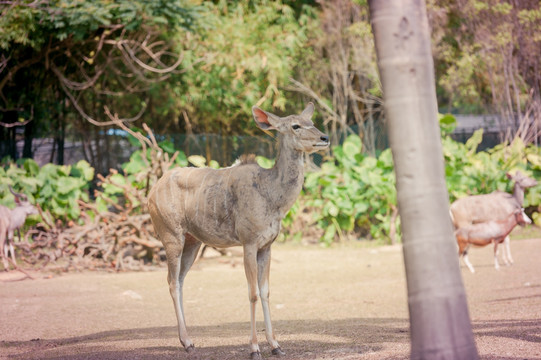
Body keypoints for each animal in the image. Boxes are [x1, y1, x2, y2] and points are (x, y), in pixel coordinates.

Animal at [148, 102, 330, 358]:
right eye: (295, 125)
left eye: (311, 122)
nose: (324, 138)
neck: (272, 196)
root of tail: (151, 192)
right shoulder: (248, 242)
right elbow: (252, 293)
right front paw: (254, 348)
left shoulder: (267, 246)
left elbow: (266, 291)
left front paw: (276, 345)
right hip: (171, 235)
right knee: (172, 281)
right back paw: (188, 342)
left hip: (193, 241)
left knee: (180, 280)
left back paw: (187, 340)